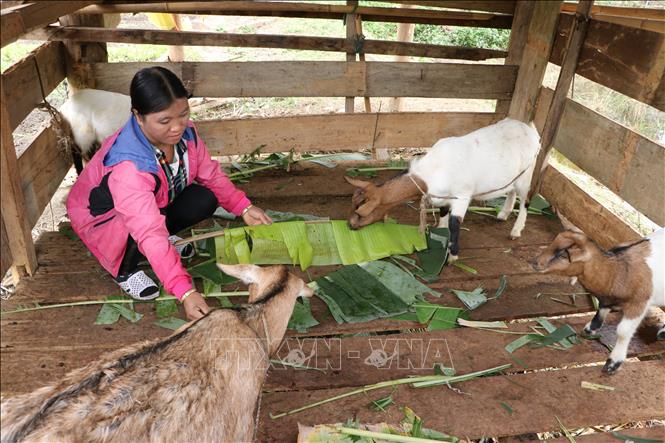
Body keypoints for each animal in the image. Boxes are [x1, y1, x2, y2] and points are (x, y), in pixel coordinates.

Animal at [344, 119, 544, 260]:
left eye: (361, 213)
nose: (349, 226)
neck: (434, 169)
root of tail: (531, 130)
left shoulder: (462, 196)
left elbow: (455, 223)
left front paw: (453, 255)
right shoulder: (444, 197)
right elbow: (442, 213)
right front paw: (440, 231)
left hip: (527, 173)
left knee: (526, 199)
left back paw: (516, 230)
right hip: (513, 176)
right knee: (511, 191)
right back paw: (503, 214)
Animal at [528, 229, 664, 374]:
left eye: (563, 254)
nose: (534, 262)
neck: (616, 271)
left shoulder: (638, 303)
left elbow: (623, 331)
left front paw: (613, 363)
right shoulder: (606, 298)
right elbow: (600, 311)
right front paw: (589, 329)